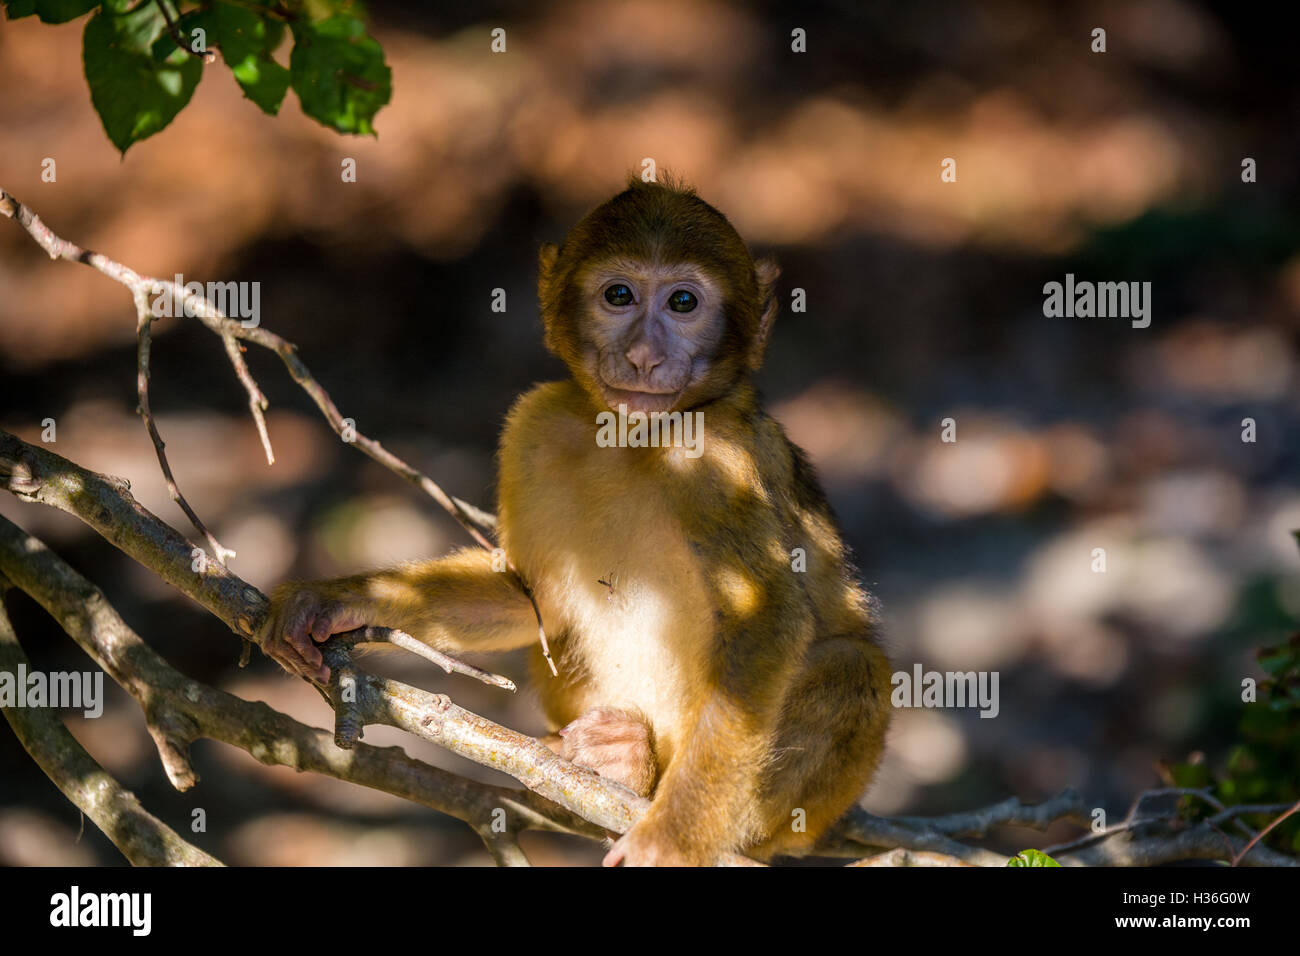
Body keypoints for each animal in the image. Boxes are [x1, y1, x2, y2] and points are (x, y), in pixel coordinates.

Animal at [263, 174, 894, 868]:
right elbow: (532, 596)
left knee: (850, 664)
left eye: (683, 302)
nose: (644, 356)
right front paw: (337, 600)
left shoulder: (719, 457)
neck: (634, 442)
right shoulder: (534, 426)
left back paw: (645, 778)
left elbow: (767, 625)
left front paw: (673, 837)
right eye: (619, 295)